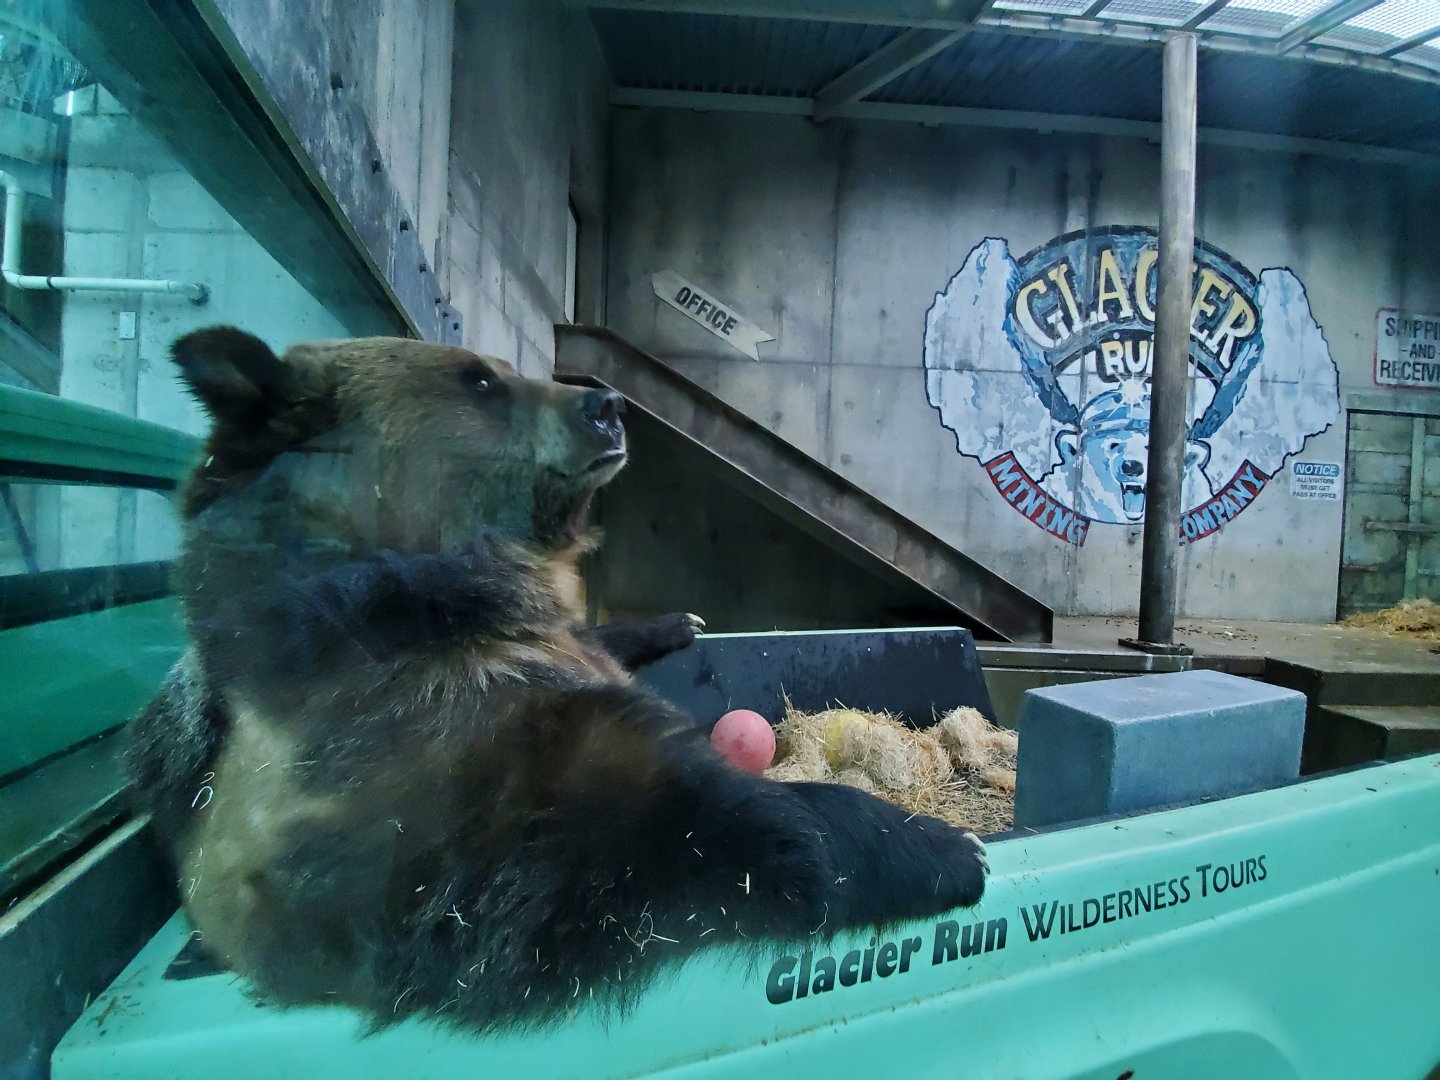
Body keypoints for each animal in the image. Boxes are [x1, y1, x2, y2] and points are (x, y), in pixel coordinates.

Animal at [124, 326, 989, 1034]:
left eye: (499, 369)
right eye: (479, 379)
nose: (608, 405)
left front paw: (672, 623)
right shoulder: (452, 784)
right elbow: (694, 833)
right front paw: (940, 847)